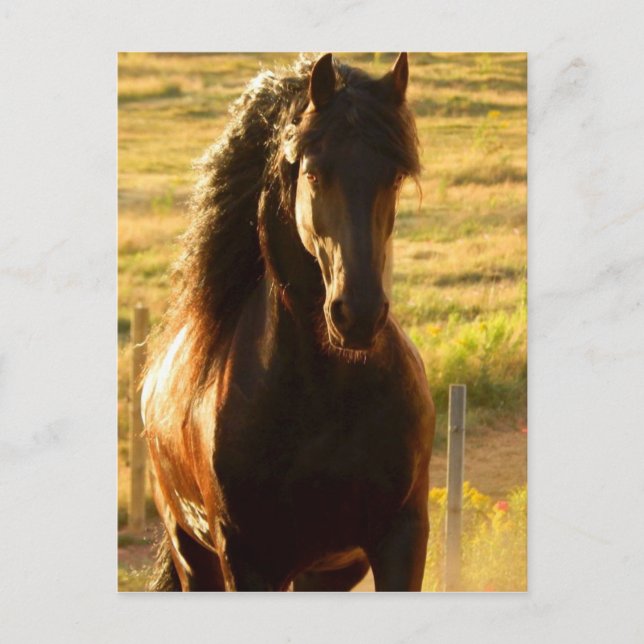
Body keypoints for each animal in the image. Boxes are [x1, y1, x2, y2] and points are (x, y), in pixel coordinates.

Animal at [142, 52, 435, 591]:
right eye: (315, 174)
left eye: (395, 176)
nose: (358, 314)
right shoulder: (249, 561)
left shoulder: (402, 538)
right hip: (193, 554)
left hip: (327, 571)